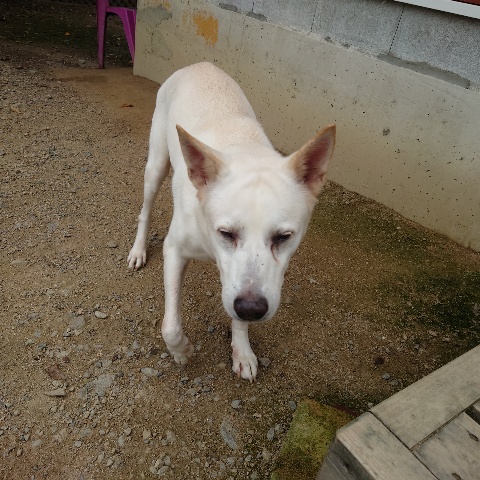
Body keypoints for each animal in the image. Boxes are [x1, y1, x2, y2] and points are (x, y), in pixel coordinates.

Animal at [127, 62, 335, 381]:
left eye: (283, 237)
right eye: (225, 232)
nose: (251, 309)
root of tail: (199, 64)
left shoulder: (247, 289)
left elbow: (238, 311)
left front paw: (242, 351)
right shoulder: (174, 250)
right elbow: (170, 326)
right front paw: (181, 350)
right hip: (156, 164)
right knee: (145, 210)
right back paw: (138, 250)